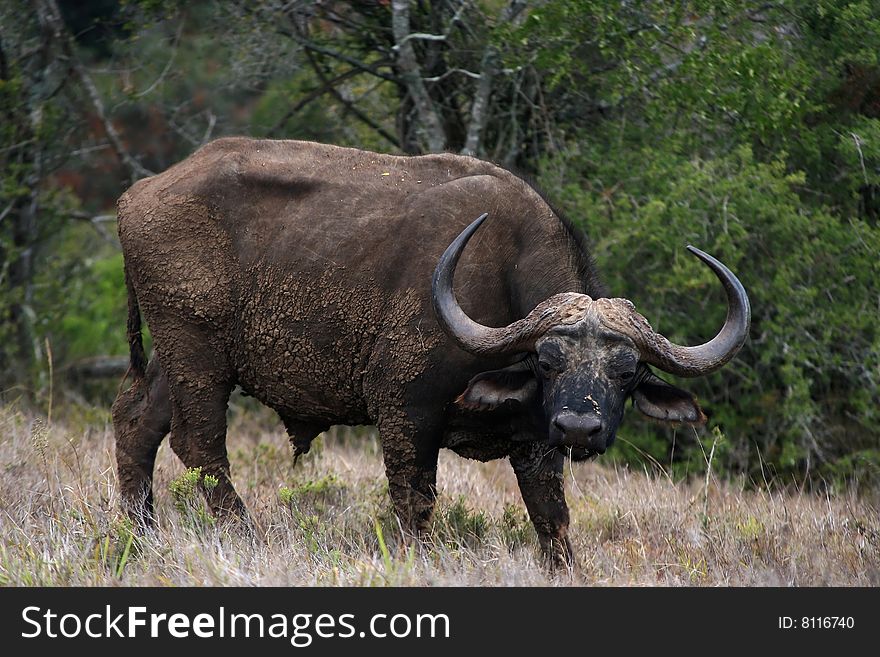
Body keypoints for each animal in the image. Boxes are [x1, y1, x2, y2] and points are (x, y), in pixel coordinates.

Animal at [113, 137, 748, 564]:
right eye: (547, 361)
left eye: (626, 370)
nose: (578, 427)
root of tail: (135, 195)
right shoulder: (404, 413)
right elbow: (415, 507)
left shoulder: (535, 445)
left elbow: (552, 519)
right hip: (196, 352)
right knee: (200, 445)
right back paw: (242, 535)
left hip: (177, 356)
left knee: (136, 420)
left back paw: (138, 534)